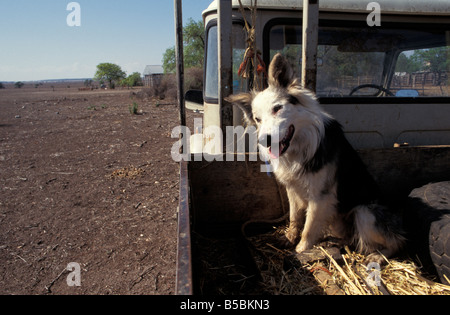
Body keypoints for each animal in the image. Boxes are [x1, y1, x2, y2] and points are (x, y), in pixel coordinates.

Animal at [229, 53, 404, 264]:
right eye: (257, 119)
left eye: (277, 108)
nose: (265, 140)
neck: (299, 148)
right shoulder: (293, 190)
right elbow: (295, 218)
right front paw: (289, 238)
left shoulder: (320, 197)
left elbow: (309, 226)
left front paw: (301, 249)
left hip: (365, 212)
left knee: (396, 242)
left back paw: (378, 256)